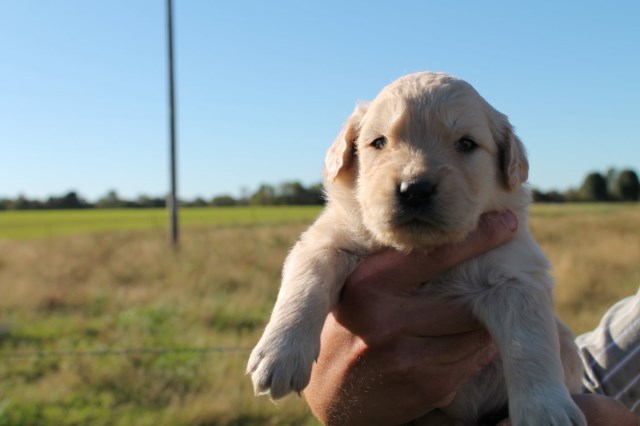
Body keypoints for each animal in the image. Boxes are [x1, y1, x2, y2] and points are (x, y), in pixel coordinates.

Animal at [248, 73, 588, 426]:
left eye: (466, 144)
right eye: (379, 142)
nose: (415, 190)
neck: (421, 247)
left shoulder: (517, 273)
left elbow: (530, 343)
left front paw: (546, 411)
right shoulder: (326, 240)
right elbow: (305, 286)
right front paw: (279, 355)